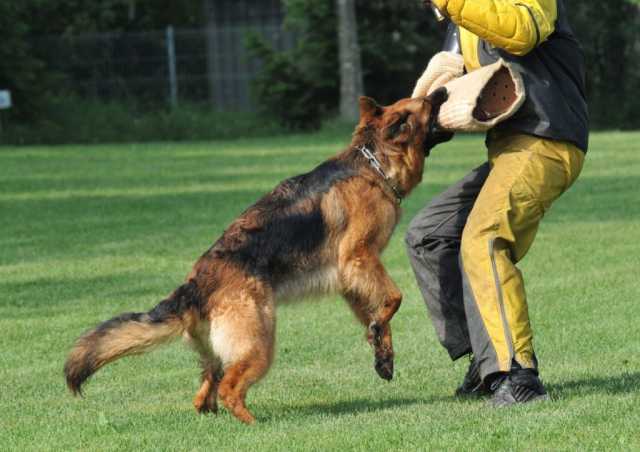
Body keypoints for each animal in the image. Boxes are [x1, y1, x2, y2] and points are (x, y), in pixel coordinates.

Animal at [62, 88, 448, 424]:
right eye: (426, 103)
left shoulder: (352, 278)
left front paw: (381, 350)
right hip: (259, 343)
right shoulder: (359, 258)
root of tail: (193, 287)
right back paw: (253, 423)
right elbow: (395, 298)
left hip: (222, 352)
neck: (373, 164)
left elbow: (378, 317)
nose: (443, 90)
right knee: (230, 389)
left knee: (205, 390)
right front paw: (380, 330)